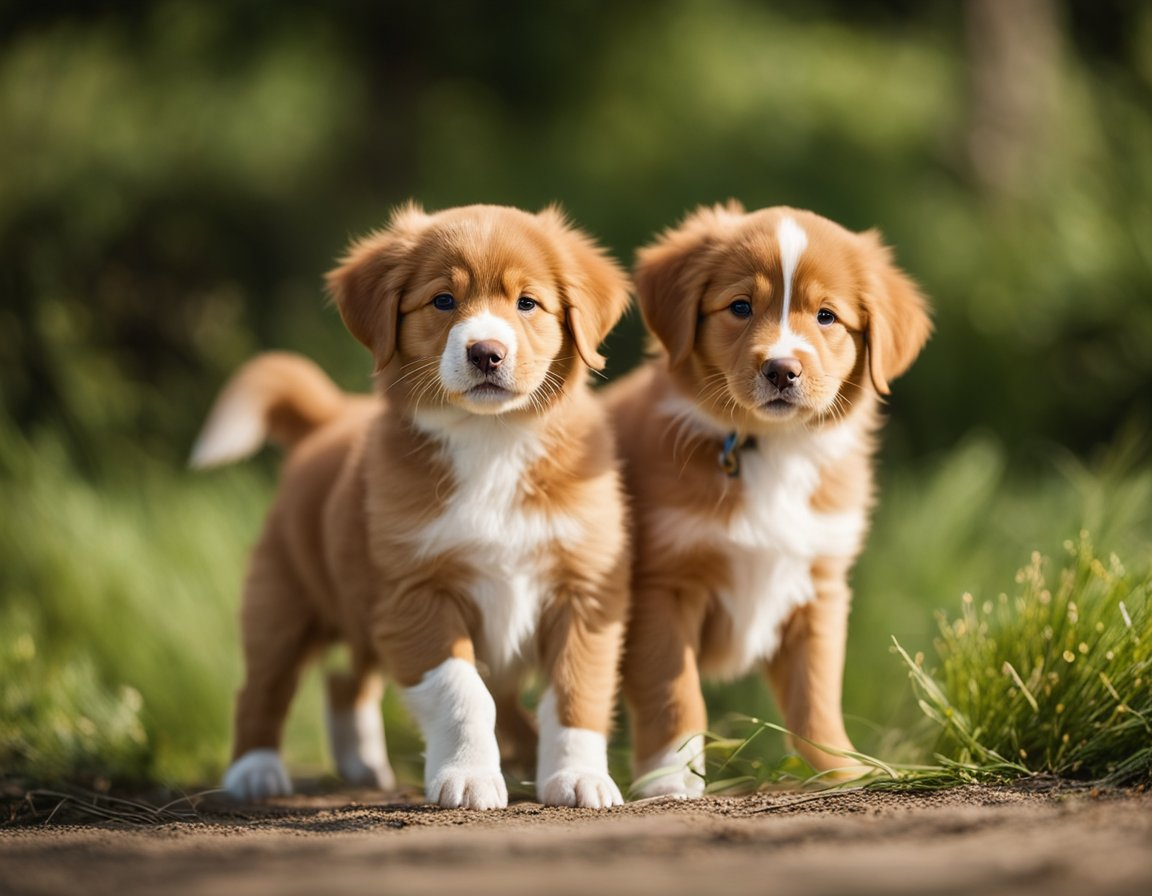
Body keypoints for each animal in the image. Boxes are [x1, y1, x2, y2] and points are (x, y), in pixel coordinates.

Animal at [194, 203, 635, 810]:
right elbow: (462, 693)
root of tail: (328, 418)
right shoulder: (415, 594)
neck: (492, 441)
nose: (486, 352)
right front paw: (470, 777)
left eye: (527, 302)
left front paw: (578, 776)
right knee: (264, 686)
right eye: (443, 301)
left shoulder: (585, 590)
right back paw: (254, 771)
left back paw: (366, 764)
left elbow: (576, 693)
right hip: (281, 602)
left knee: (346, 681)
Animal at [608, 203, 930, 796]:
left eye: (826, 316)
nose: (781, 369)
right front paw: (670, 777)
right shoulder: (663, 587)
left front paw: (840, 773)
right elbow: (674, 693)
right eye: (739, 307)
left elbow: (815, 695)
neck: (770, 448)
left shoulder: (818, 587)